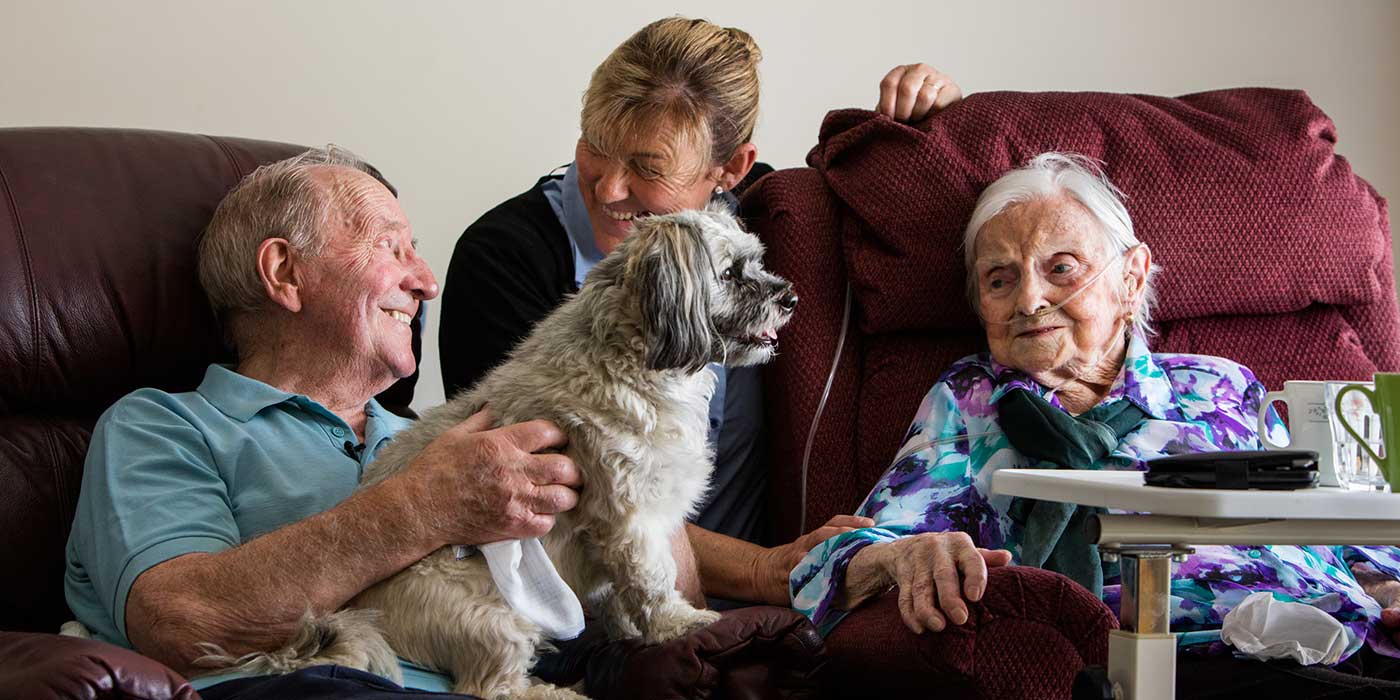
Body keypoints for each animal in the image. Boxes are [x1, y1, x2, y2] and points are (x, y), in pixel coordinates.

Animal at [207, 204, 800, 697]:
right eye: (730, 274)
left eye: (757, 261)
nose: (790, 297)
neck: (633, 355)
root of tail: (361, 615)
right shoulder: (627, 515)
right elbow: (652, 580)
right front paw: (679, 625)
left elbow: (622, 594)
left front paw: (635, 635)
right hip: (497, 618)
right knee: (490, 690)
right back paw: (557, 694)